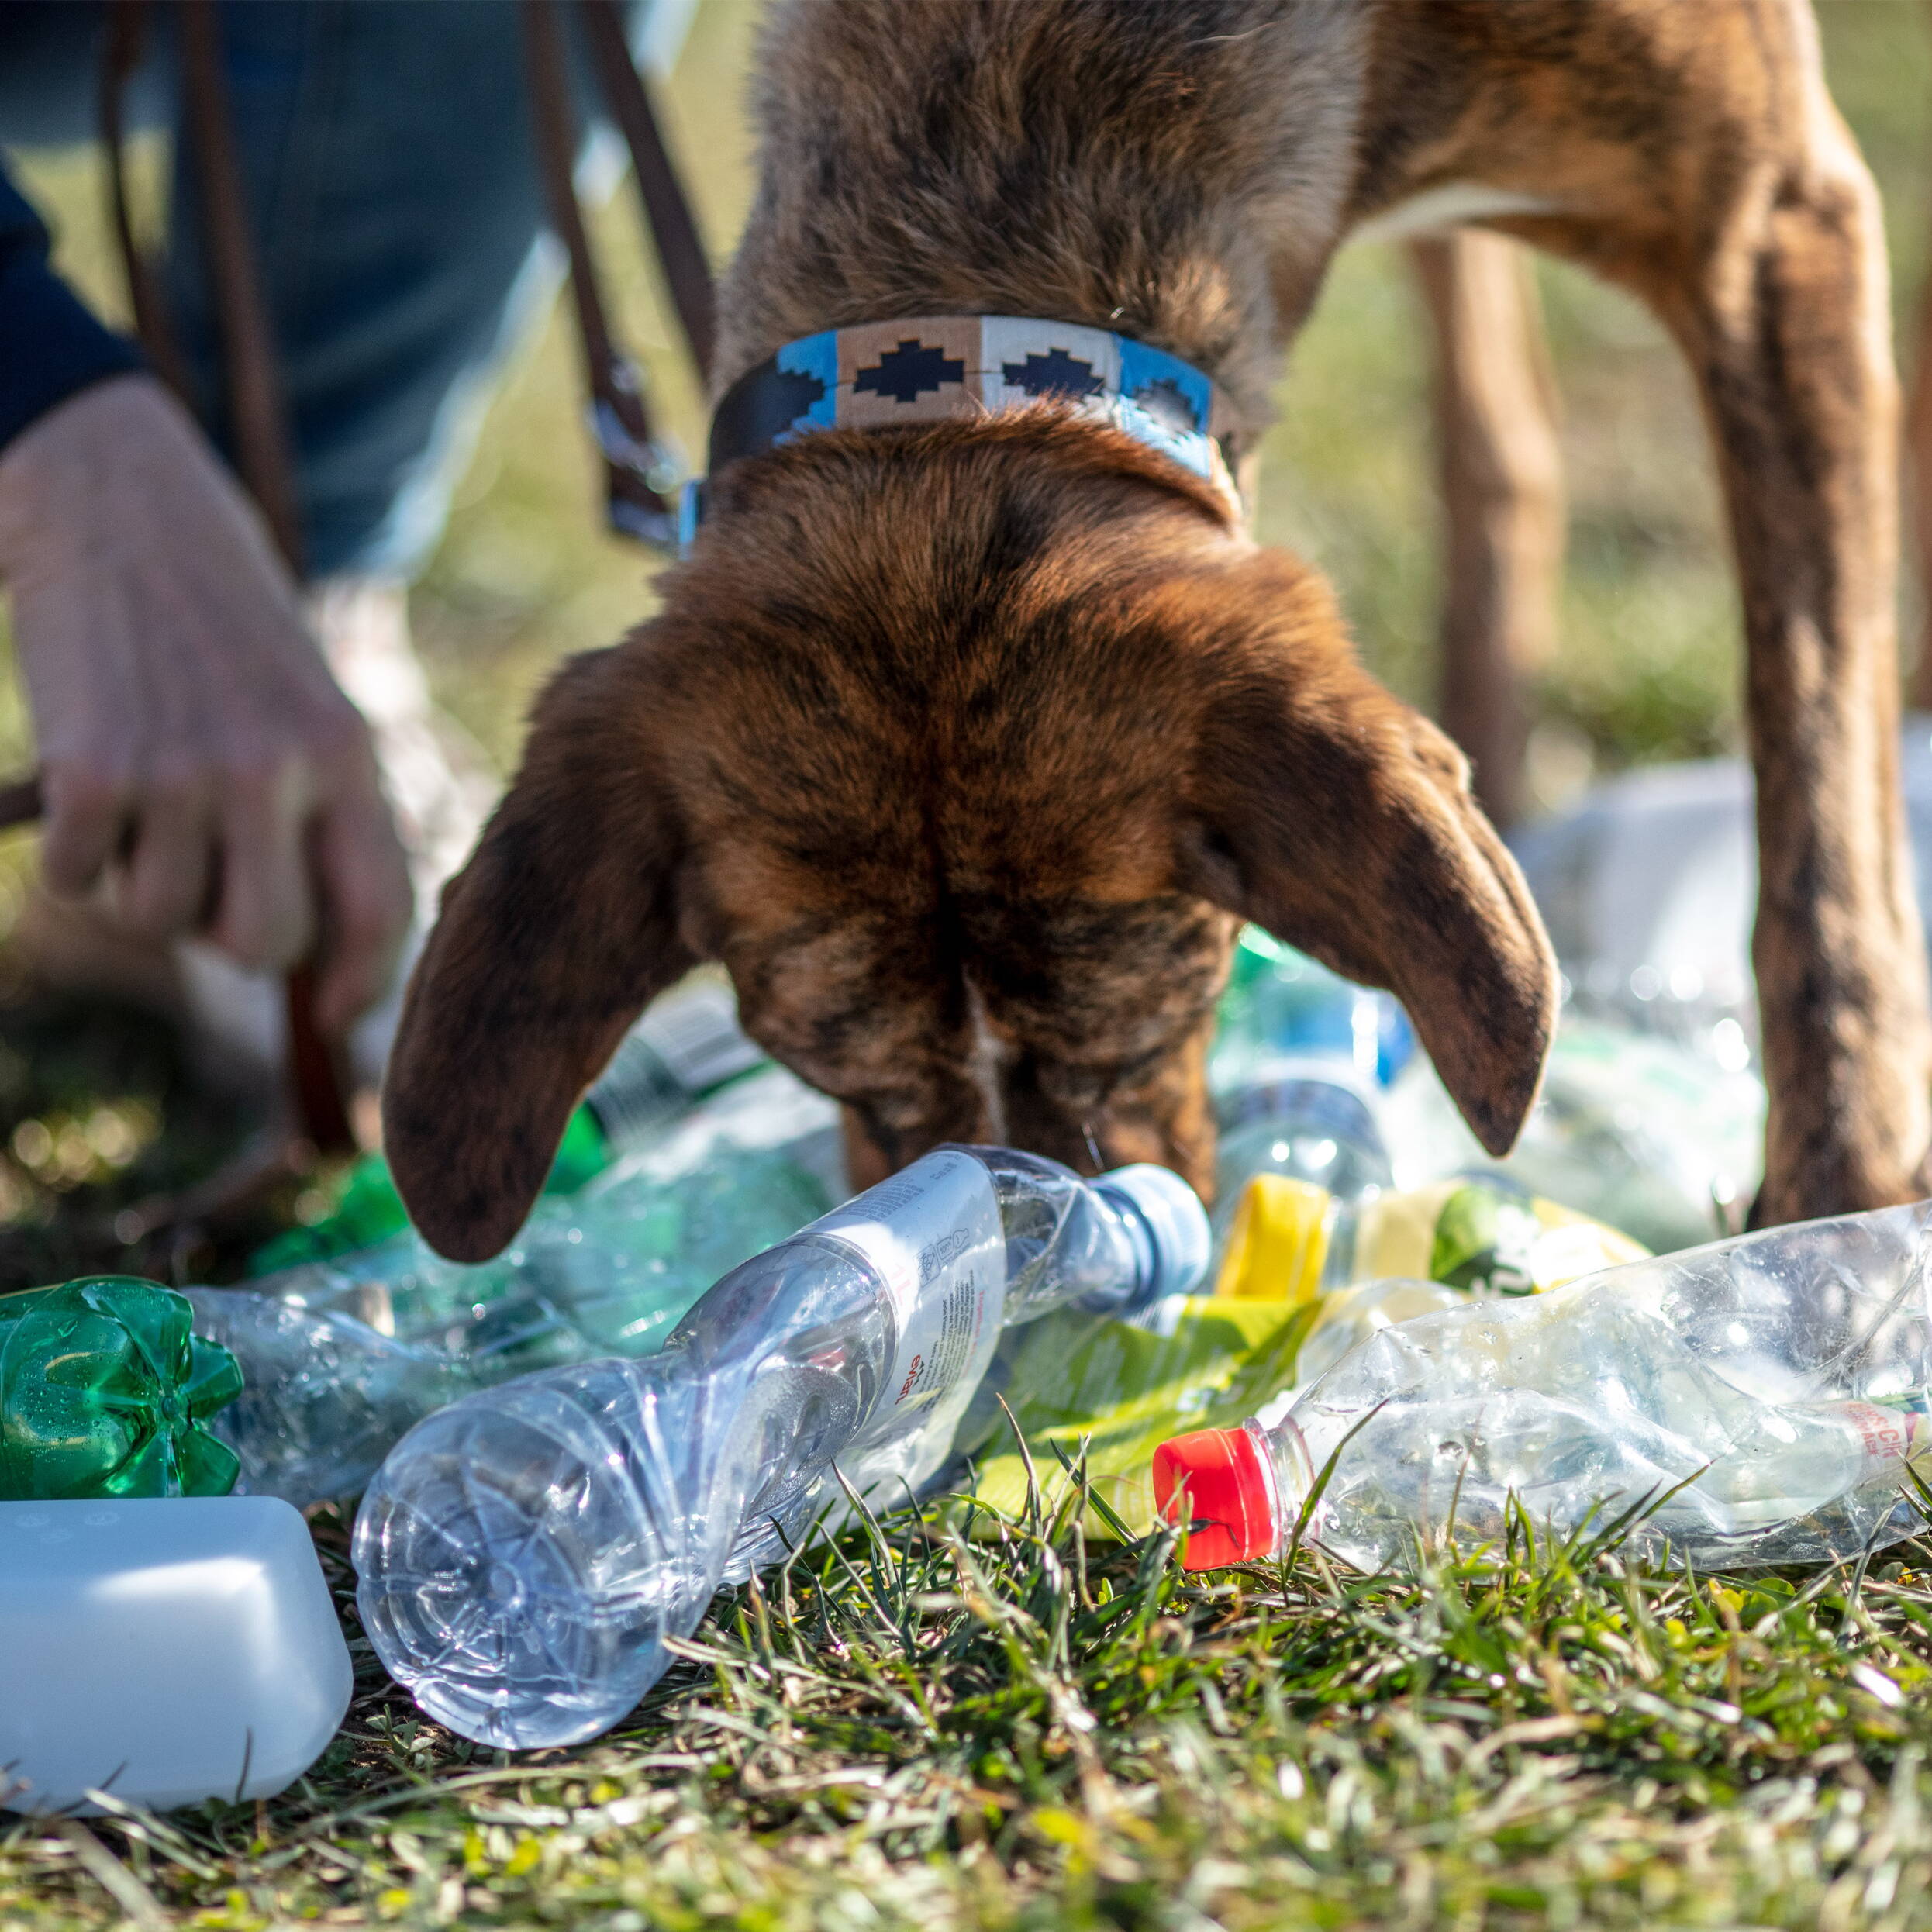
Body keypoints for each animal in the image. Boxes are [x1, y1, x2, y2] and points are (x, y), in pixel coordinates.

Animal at [384, 0, 1924, 1259]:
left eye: (1156, 1024)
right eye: (838, 1075)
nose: (1038, 1250)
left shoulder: (1775, 224)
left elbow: (1818, 816)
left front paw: (1836, 1219)